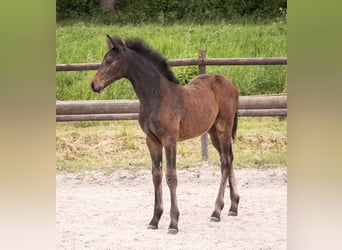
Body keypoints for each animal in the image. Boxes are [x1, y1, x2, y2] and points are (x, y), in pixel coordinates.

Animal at [91, 34, 240, 233]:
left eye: (109, 61)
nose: (94, 84)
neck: (157, 97)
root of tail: (231, 84)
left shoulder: (170, 139)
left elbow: (171, 176)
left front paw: (173, 222)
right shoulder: (152, 140)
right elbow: (156, 175)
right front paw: (155, 219)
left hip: (224, 127)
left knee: (225, 162)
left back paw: (216, 211)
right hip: (213, 132)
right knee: (229, 158)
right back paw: (233, 207)